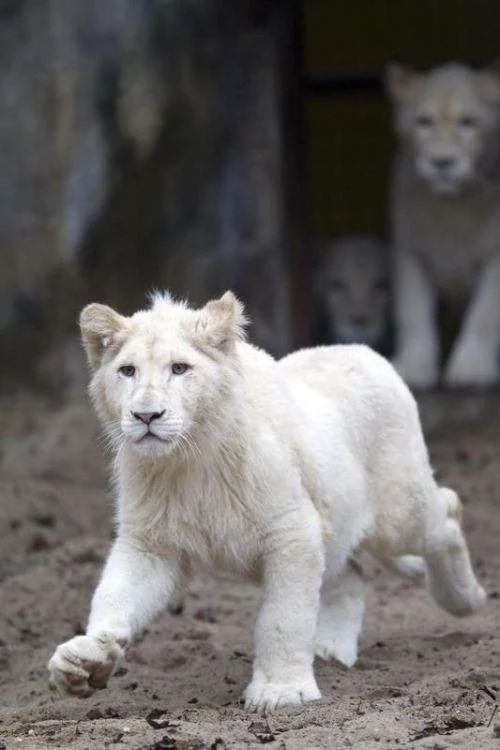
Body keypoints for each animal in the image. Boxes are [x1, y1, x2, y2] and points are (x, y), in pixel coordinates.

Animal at [47, 291, 485, 712]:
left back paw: (466, 599)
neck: (188, 461)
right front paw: (85, 658)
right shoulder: (151, 544)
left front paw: (281, 692)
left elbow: (282, 620)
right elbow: (116, 593)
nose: (146, 415)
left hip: (398, 512)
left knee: (446, 511)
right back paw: (331, 652)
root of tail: (363, 350)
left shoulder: (293, 531)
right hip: (335, 527)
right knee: (351, 575)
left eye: (180, 368)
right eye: (127, 371)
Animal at [387, 62, 500, 387]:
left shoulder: (495, 257)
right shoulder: (410, 252)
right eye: (424, 122)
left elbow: (485, 312)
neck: (453, 207)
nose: (442, 163)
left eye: (469, 122)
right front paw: (412, 368)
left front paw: (472, 368)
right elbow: (413, 312)